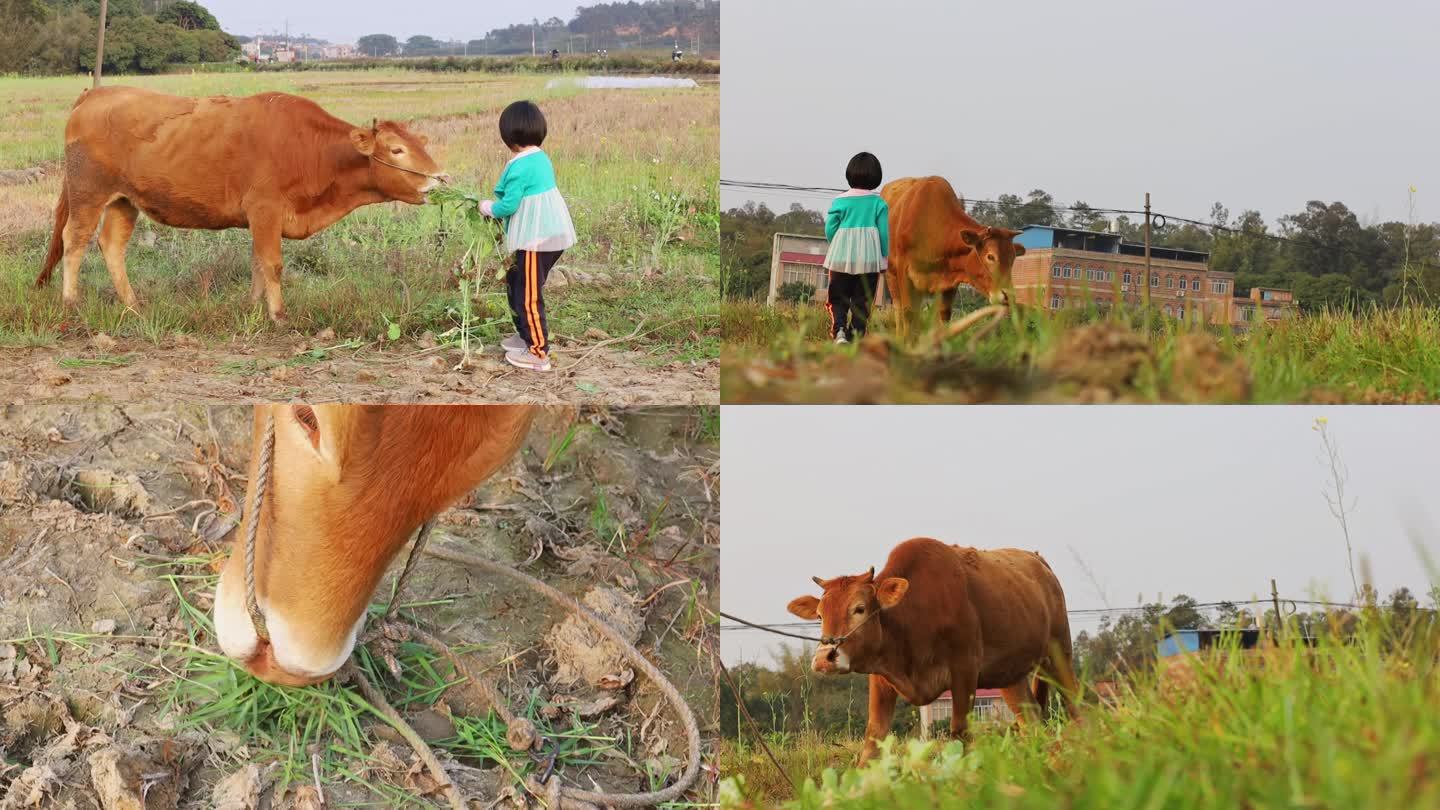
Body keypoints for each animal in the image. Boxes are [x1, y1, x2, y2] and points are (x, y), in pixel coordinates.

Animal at [36, 85, 446, 318]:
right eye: (396, 149)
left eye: (420, 145)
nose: (441, 180)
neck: (311, 150)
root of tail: (97, 93)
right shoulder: (265, 210)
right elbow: (273, 264)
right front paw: (278, 314)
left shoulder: (263, 219)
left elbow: (259, 265)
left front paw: (253, 306)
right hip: (88, 193)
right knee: (74, 240)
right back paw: (71, 302)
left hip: (125, 201)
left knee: (111, 245)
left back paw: (132, 304)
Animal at [789, 539, 1082, 760]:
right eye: (819, 615)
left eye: (859, 609)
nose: (824, 658)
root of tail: (1038, 560)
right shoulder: (882, 678)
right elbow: (873, 742)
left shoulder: (965, 669)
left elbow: (960, 732)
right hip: (1010, 675)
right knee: (1031, 719)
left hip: (1058, 653)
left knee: (1074, 702)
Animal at [875, 175, 1025, 338]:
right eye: (990, 256)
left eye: (1012, 259)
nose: (1008, 295)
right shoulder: (904, 274)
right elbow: (908, 313)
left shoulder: (949, 284)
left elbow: (943, 318)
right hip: (891, 276)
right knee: (899, 310)